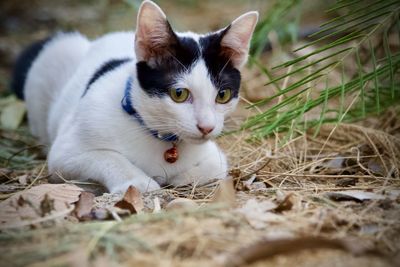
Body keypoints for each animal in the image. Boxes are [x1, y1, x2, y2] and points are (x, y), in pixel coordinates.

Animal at [11, 0, 260, 193]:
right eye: (179, 94)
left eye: (223, 95)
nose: (207, 127)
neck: (159, 138)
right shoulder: (65, 152)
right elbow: (108, 157)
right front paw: (137, 182)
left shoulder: (215, 157)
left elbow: (214, 168)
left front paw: (175, 177)